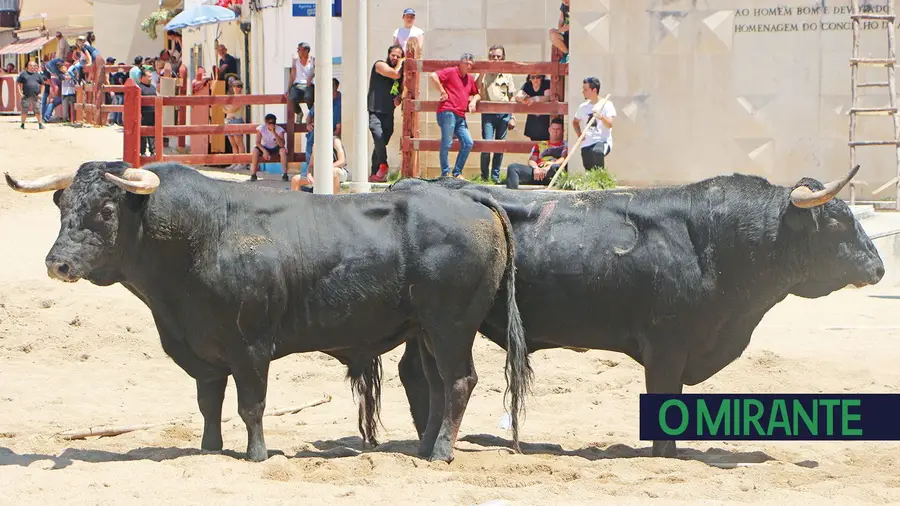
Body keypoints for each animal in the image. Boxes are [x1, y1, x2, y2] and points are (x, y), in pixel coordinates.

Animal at [1, 162, 536, 462]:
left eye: (107, 211)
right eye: (63, 205)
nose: (57, 263)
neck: (201, 234)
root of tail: (472, 198)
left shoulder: (251, 347)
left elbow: (251, 405)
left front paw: (255, 454)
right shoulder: (204, 351)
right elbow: (209, 402)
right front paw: (210, 448)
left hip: (451, 329)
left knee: (459, 382)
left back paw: (442, 451)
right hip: (425, 332)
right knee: (437, 385)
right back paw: (424, 449)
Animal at [390, 168, 884, 456]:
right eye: (837, 220)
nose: (878, 267)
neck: (715, 240)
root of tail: (416, 184)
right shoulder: (667, 347)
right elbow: (666, 402)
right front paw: (666, 454)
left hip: (427, 328)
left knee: (417, 373)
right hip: (445, 325)